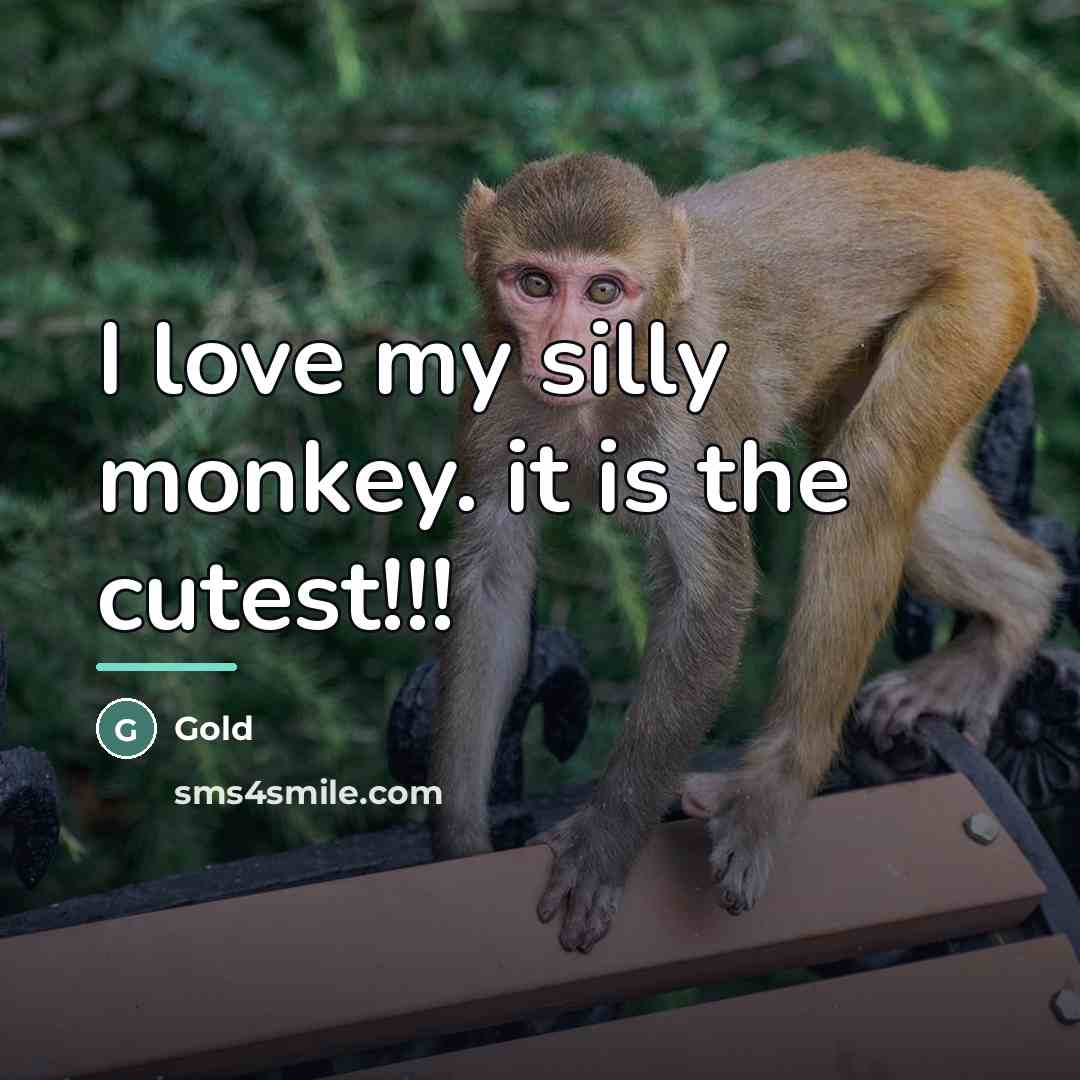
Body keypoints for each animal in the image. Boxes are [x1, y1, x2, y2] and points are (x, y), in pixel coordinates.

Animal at [430, 149, 1079, 953]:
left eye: (604, 292)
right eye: (535, 284)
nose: (561, 345)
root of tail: (966, 189)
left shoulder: (686, 405)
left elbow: (709, 600)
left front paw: (604, 846)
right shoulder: (491, 389)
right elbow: (491, 584)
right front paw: (461, 845)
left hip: (978, 296)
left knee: (870, 467)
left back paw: (772, 789)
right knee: (891, 482)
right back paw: (1021, 608)